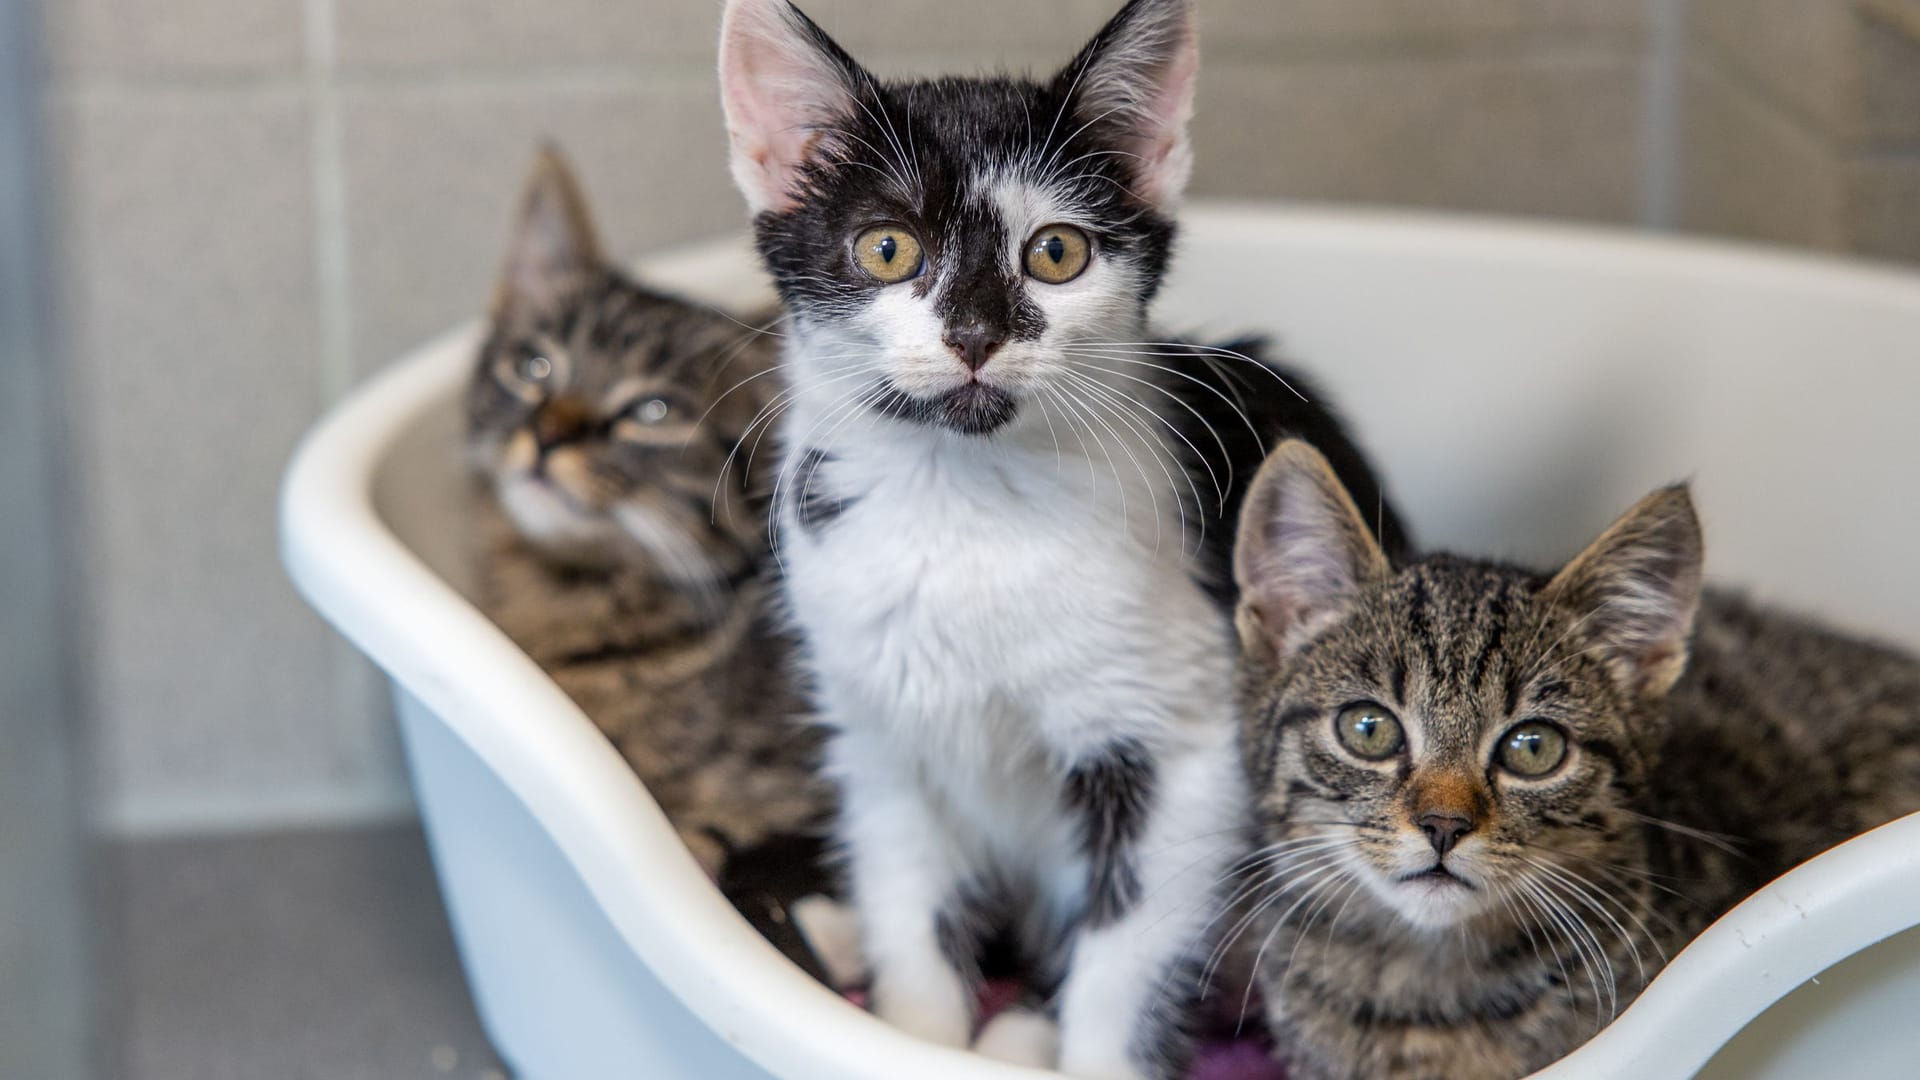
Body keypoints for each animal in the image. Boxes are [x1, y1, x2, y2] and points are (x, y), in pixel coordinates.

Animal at [721, 4, 1413, 1068]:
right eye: (886, 249)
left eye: (1056, 253)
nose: (974, 334)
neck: (962, 501)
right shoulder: (878, 734)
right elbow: (906, 900)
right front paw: (918, 1031)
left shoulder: (1182, 753)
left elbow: (1124, 953)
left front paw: (1087, 1048)